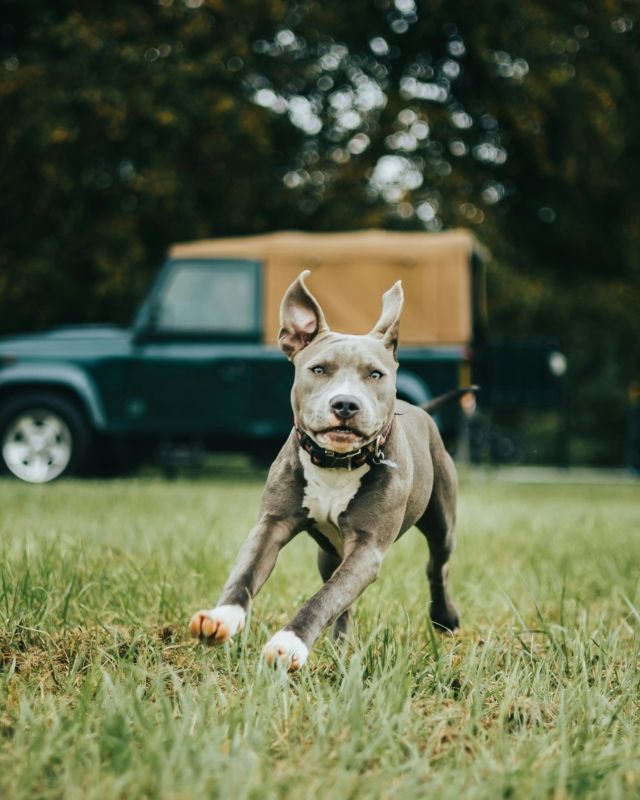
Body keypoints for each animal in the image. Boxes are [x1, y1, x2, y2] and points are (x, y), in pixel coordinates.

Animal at [189, 272, 460, 672]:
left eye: (375, 374)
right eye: (318, 369)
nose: (345, 403)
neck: (335, 463)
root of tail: (420, 409)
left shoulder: (366, 548)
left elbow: (325, 597)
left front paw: (290, 642)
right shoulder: (271, 525)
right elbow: (246, 573)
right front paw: (223, 617)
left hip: (441, 521)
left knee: (436, 566)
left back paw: (445, 619)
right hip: (328, 552)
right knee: (342, 595)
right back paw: (341, 645)